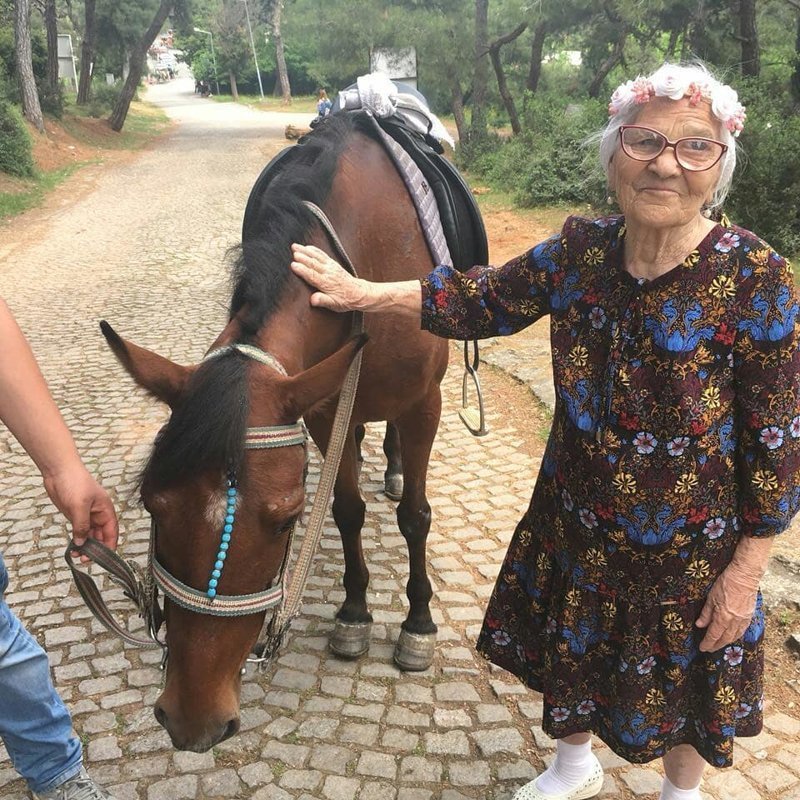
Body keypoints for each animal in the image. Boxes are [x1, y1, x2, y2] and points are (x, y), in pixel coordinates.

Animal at [100, 111, 446, 752]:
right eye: (153, 506)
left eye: (287, 521)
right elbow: (346, 508)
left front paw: (417, 623)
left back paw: (392, 467)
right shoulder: (323, 406)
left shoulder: (423, 404)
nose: (193, 718)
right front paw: (354, 612)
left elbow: (415, 516)